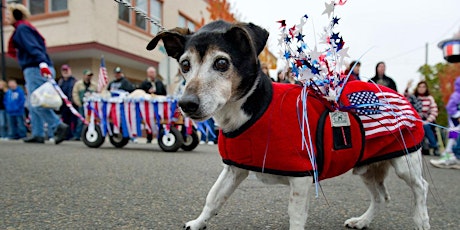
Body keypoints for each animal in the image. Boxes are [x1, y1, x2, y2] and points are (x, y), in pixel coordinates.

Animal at [146, 20, 430, 230]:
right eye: (185, 65)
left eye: (222, 63)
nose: (186, 104)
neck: (255, 109)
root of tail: (394, 92)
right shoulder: (233, 170)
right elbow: (213, 198)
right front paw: (198, 223)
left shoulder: (301, 181)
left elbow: (295, 217)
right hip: (366, 166)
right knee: (380, 196)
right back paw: (362, 221)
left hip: (405, 161)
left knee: (420, 188)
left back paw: (421, 220)